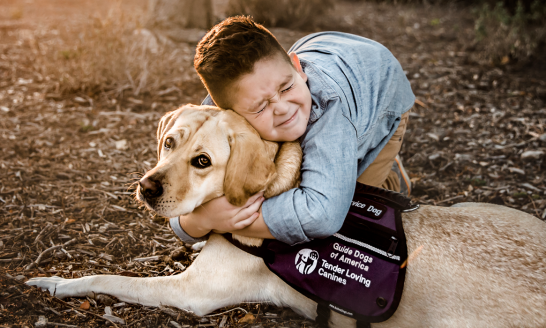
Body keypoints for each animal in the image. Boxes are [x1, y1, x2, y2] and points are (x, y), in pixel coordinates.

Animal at [27, 105, 544, 328]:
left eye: (203, 161)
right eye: (168, 143)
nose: (147, 187)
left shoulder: (190, 293)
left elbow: (109, 279)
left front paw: (56, 283)